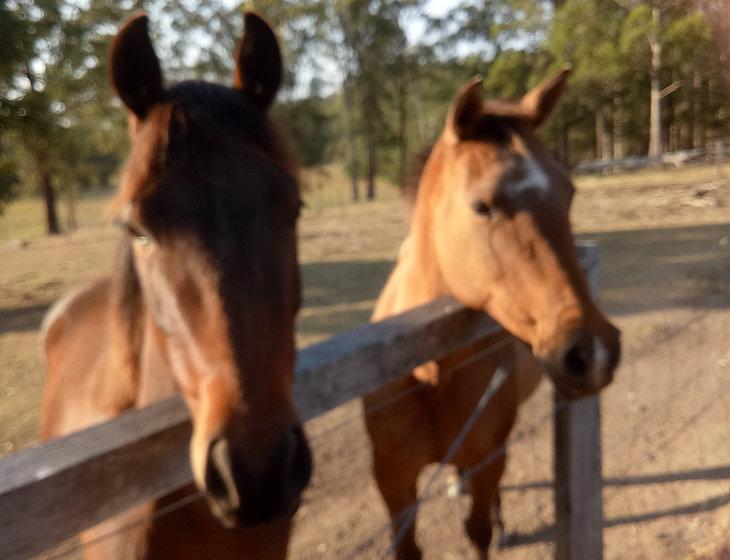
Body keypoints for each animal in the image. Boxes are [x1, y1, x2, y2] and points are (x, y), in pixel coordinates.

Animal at [362, 71, 616, 560]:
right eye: (482, 206)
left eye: (569, 193)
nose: (592, 352)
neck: (426, 370)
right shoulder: (392, 478)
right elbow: (408, 548)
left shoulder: (488, 455)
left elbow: (476, 531)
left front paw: (492, 528)